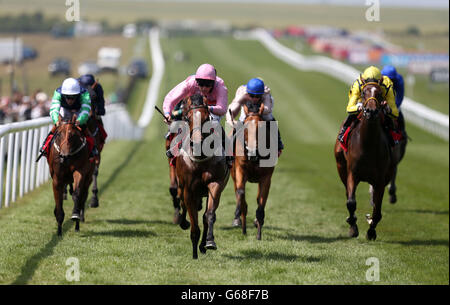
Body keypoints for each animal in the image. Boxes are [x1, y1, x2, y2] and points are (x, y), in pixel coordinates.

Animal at [173, 93, 229, 258]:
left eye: (206, 117)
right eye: (188, 117)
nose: (197, 143)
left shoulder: (215, 184)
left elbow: (208, 215)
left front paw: (208, 243)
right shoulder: (189, 190)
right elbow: (194, 224)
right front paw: (194, 254)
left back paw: (204, 245)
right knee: (183, 203)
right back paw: (183, 222)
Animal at [230, 101, 276, 239]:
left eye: (260, 127)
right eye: (245, 127)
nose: (251, 151)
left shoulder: (266, 178)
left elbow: (261, 203)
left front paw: (259, 234)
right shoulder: (240, 170)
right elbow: (241, 194)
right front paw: (243, 228)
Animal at [332, 78, 400, 240]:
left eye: (380, 94)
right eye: (363, 93)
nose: (371, 111)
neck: (367, 144)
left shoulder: (380, 180)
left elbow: (377, 210)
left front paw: (371, 231)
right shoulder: (352, 174)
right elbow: (351, 202)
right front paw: (352, 226)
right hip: (341, 166)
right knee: (347, 193)